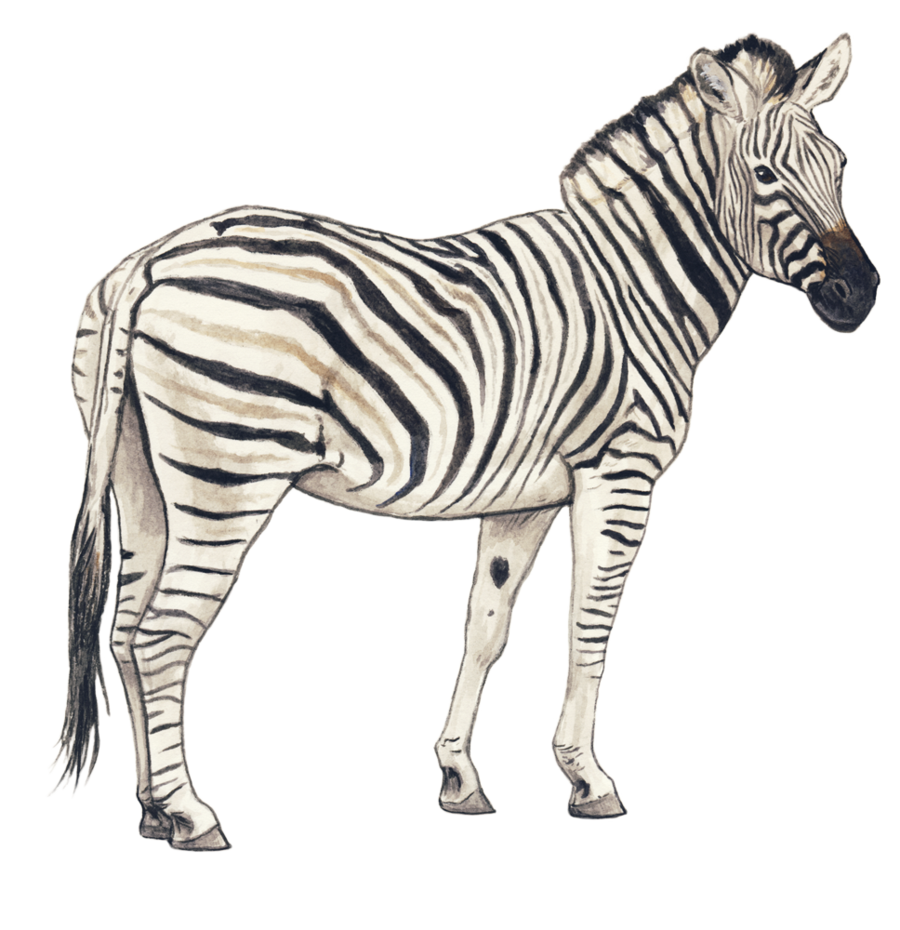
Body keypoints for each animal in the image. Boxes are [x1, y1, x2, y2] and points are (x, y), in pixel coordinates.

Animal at [50, 30, 879, 850]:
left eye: (840, 168)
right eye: (764, 174)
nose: (861, 295)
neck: (634, 285)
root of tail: (147, 262)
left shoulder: (525, 498)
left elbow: (485, 626)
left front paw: (459, 778)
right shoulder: (618, 473)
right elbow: (591, 623)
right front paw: (590, 782)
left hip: (141, 477)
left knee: (125, 628)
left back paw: (153, 812)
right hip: (228, 473)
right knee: (161, 635)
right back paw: (192, 816)